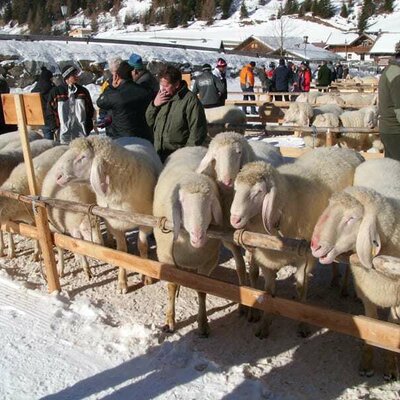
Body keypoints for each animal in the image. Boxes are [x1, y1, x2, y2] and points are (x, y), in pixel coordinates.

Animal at [40, 151, 102, 282]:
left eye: (99, 227)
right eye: (86, 229)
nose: (100, 244)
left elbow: (79, 246)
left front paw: (86, 269)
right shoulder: (56, 229)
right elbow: (62, 247)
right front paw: (61, 269)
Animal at [54, 136, 162, 292]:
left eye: (83, 157)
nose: (57, 176)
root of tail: (132, 136)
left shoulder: (145, 223)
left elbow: (142, 246)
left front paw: (146, 276)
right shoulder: (114, 225)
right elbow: (121, 252)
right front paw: (122, 282)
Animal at [153, 145, 223, 336]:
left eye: (209, 203)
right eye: (182, 201)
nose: (199, 236)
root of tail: (192, 146)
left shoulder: (209, 261)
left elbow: (202, 290)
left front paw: (203, 323)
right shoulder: (166, 258)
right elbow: (171, 286)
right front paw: (169, 321)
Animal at [230, 147, 364, 338]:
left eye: (259, 192)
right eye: (235, 188)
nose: (234, 219)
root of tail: (346, 149)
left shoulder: (306, 257)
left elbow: (301, 289)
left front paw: (303, 325)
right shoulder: (266, 259)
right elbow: (268, 292)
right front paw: (264, 324)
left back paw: (344, 287)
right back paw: (334, 279)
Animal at [310, 158, 400, 380]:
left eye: (351, 218)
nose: (314, 245)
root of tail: (382, 158)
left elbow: (391, 328)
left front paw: (391, 367)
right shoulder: (367, 292)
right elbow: (371, 324)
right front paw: (366, 363)